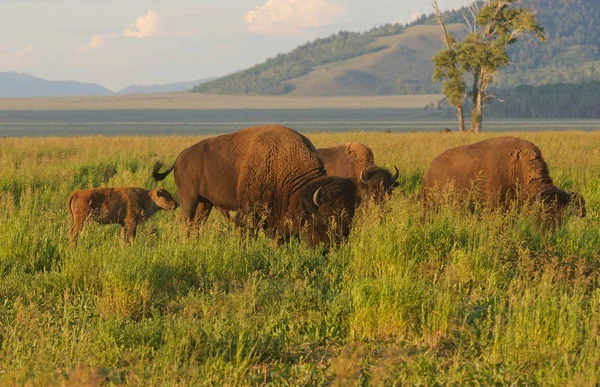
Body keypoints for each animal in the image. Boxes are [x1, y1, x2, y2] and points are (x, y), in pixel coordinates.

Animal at [154, 126, 356, 250]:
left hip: (205, 203)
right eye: (325, 218)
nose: (332, 246)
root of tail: (179, 158)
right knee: (186, 222)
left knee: (197, 224)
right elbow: (247, 232)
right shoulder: (249, 212)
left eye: (349, 217)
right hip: (189, 199)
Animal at [420, 136, 584, 223]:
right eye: (544, 213)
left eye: (563, 215)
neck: (517, 167)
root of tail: (429, 170)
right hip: (429, 204)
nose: (551, 231)